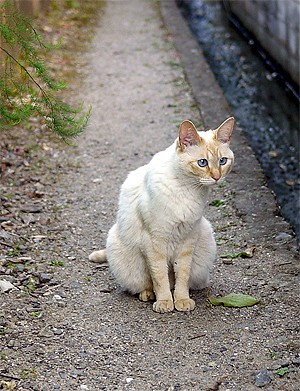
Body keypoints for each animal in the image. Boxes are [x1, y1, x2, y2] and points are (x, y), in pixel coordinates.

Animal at [89, 118, 234, 314]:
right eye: (202, 163)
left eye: (222, 161)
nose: (217, 177)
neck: (187, 189)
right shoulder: (154, 242)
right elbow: (159, 278)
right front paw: (165, 302)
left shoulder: (187, 239)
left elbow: (181, 277)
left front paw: (181, 300)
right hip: (121, 248)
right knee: (146, 284)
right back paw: (148, 295)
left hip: (204, 237)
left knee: (181, 282)